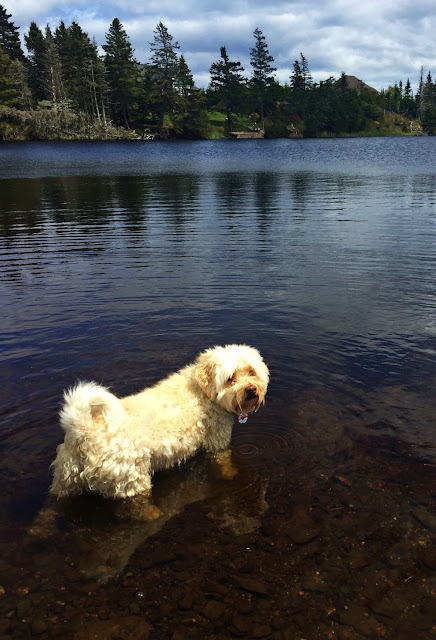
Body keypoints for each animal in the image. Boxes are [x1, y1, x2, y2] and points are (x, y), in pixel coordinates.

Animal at [51, 344, 270, 500]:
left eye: (251, 372)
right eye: (230, 378)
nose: (251, 389)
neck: (203, 393)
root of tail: (83, 427)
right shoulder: (217, 442)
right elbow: (224, 462)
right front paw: (231, 474)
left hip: (67, 479)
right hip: (130, 478)